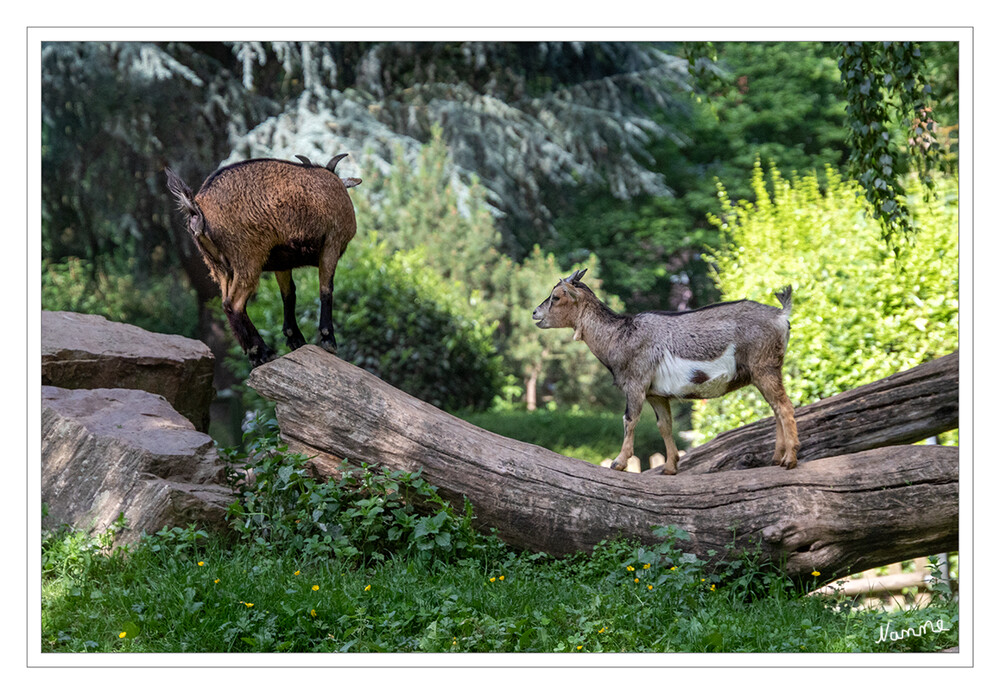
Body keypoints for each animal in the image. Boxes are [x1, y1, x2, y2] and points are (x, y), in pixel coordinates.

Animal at [166, 154, 362, 370]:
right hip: (248, 258)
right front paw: (328, 340)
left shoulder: (282, 263)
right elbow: (326, 288)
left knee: (226, 303)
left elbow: (289, 294)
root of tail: (197, 209)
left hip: (219, 267)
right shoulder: (332, 243)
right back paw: (263, 352)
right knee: (234, 304)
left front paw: (295, 339)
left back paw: (255, 354)